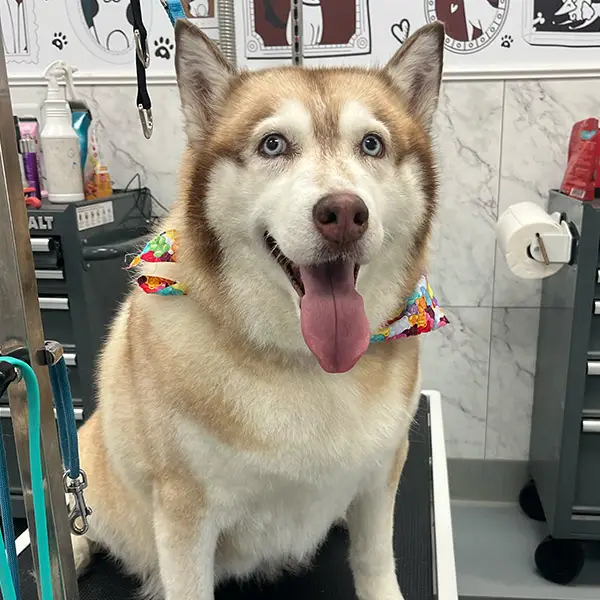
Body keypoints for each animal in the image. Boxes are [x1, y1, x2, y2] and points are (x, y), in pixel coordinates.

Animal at [70, 18, 446, 600]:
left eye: (372, 144)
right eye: (274, 144)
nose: (344, 213)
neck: (306, 364)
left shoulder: (383, 470)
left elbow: (376, 560)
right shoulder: (184, 511)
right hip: (91, 462)